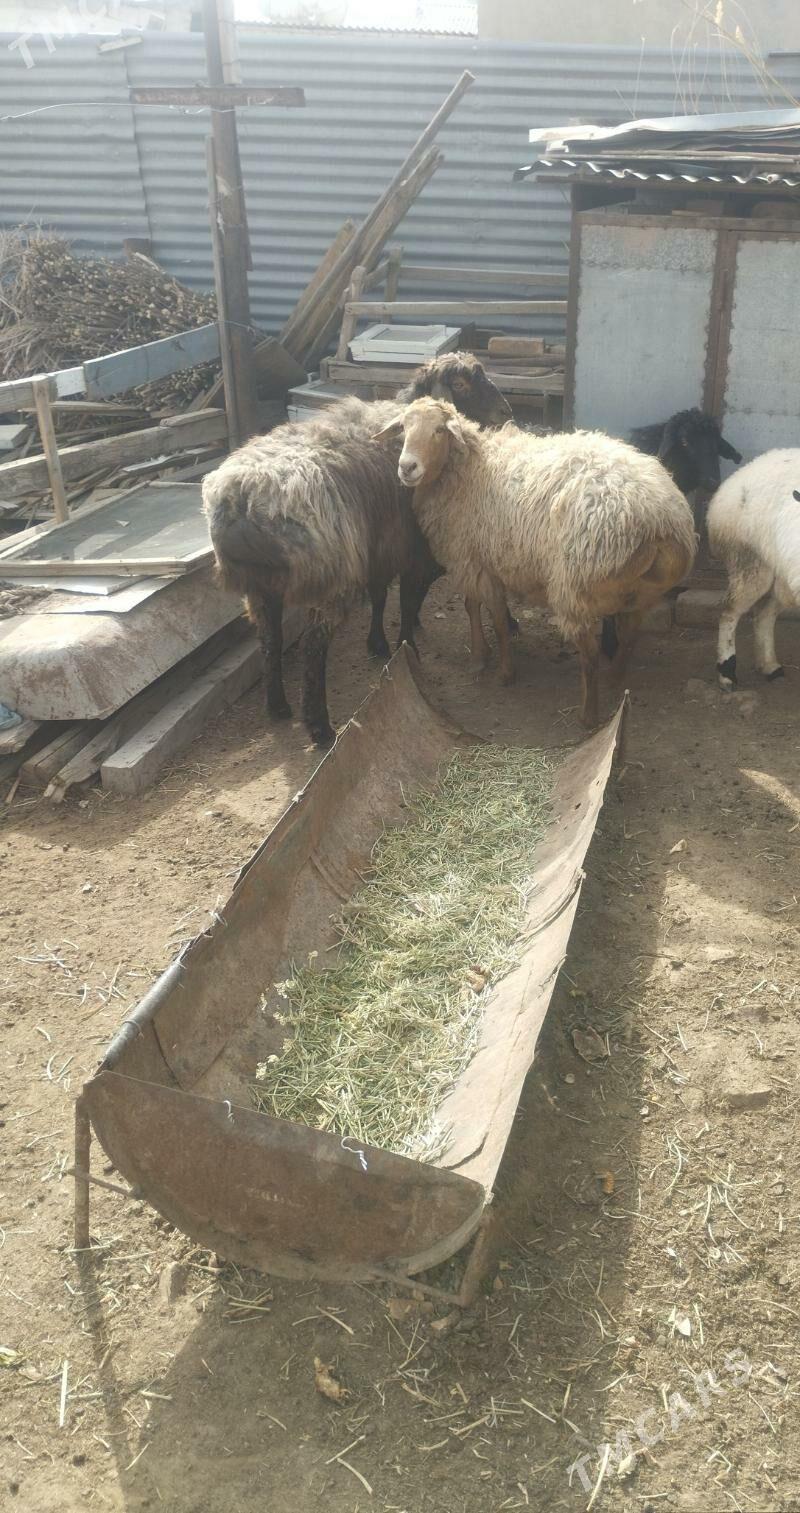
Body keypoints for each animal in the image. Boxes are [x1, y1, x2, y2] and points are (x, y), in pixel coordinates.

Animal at [202, 355, 512, 748]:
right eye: (461, 385)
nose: (506, 411)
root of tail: (244, 496)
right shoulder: (412, 550)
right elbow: (407, 600)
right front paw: (407, 647)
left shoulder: (379, 547)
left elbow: (380, 597)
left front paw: (378, 643)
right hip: (330, 578)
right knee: (313, 648)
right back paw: (320, 728)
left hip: (259, 584)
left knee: (270, 639)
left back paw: (277, 706)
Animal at [374, 398, 696, 726]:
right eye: (404, 428)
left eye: (439, 429)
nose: (407, 467)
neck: (469, 470)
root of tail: (659, 520)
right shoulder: (474, 557)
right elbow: (472, 606)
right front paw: (480, 655)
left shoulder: (474, 560)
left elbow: (497, 620)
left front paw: (504, 672)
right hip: (640, 593)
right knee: (630, 635)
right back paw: (615, 680)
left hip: (574, 587)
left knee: (590, 652)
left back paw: (588, 715)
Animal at [706, 449, 800, 690]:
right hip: (749, 563)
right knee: (729, 612)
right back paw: (727, 673)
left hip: (782, 576)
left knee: (764, 614)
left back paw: (769, 666)